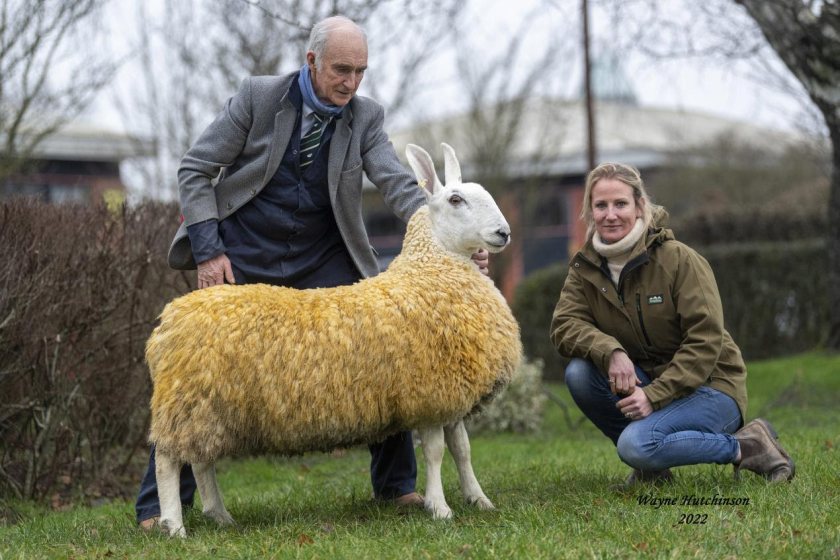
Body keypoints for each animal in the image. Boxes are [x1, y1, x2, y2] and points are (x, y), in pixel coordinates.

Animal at [148, 142, 520, 536]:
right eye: (455, 200)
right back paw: (173, 525)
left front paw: (478, 500)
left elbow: (462, 449)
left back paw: (219, 515)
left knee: (201, 460)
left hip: (207, 408)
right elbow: (435, 452)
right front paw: (440, 508)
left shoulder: (452, 394)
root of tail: (167, 320)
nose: (503, 233)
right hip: (188, 401)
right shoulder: (428, 394)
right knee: (167, 460)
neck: (429, 273)